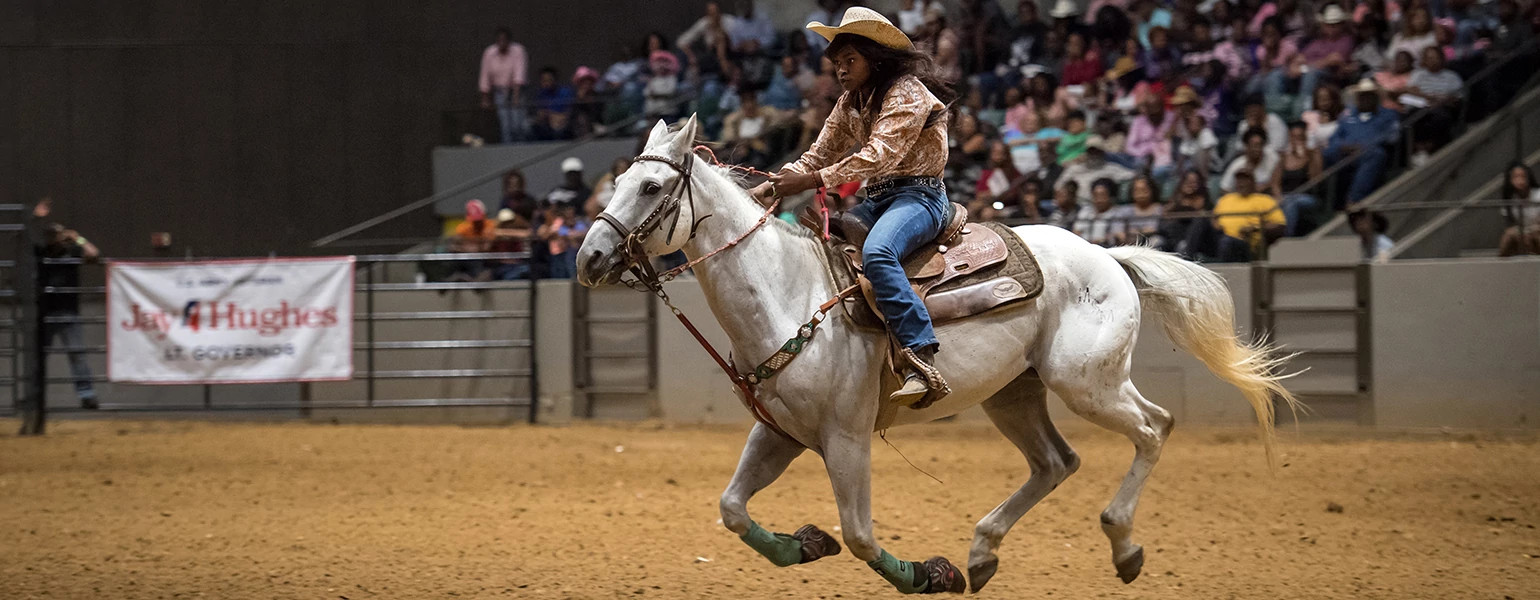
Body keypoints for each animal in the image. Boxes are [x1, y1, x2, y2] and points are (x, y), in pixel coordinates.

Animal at [576, 115, 1300, 594]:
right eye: (620, 181)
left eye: (649, 189)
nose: (587, 258)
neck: (788, 292)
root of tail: (1107, 254)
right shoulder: (779, 432)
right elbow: (733, 509)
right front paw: (804, 544)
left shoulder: (845, 438)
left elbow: (861, 535)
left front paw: (926, 574)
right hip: (1016, 393)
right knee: (1056, 461)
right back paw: (983, 553)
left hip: (1086, 382)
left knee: (1154, 427)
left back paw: (1122, 545)